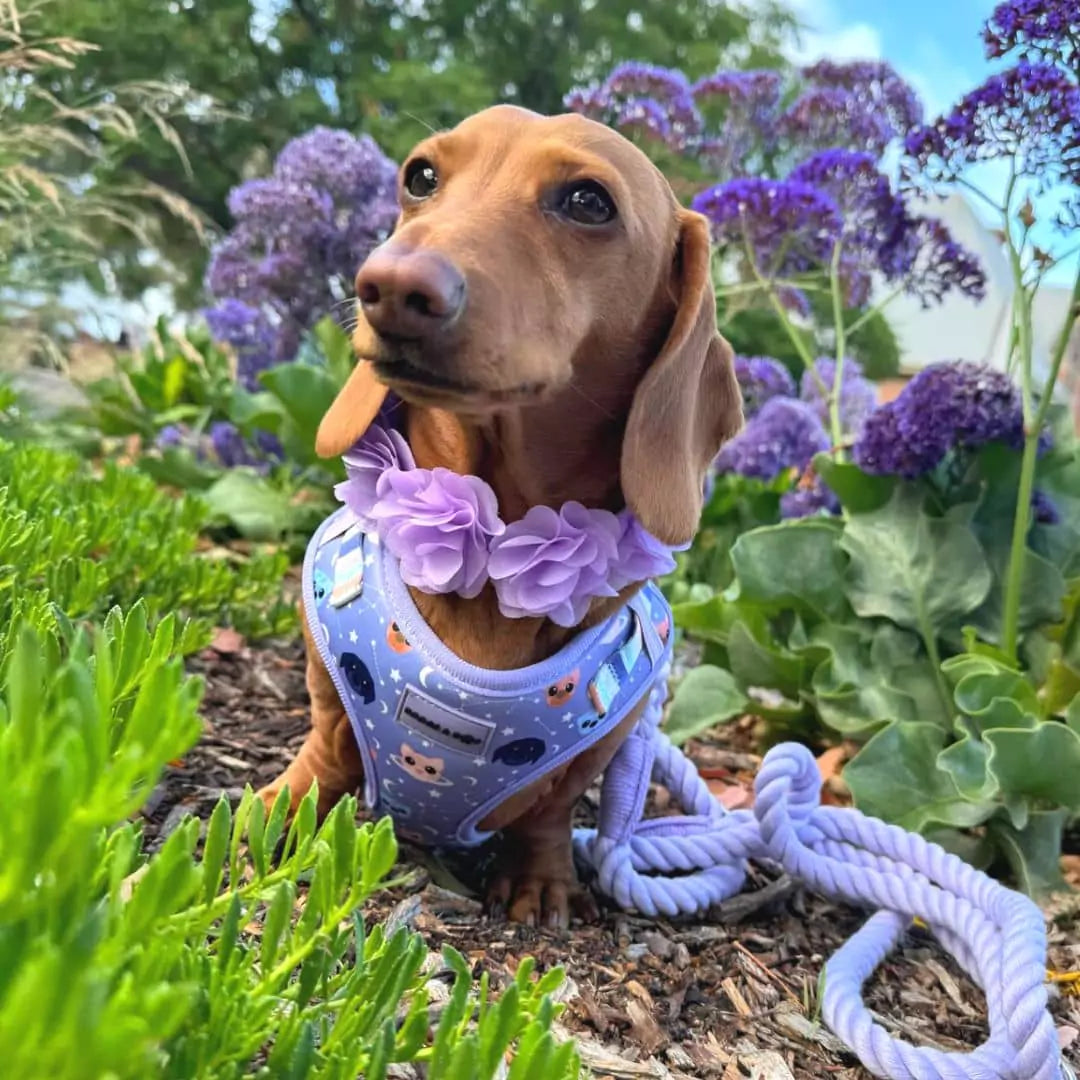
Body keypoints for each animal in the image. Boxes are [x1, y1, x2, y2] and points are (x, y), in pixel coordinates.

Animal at [257, 103, 743, 928]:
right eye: (420, 175)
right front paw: (276, 812)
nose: (390, 286)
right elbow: (326, 750)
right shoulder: (326, 681)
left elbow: (549, 813)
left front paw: (540, 879)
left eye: (587, 201)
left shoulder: (602, 742)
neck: (489, 541)